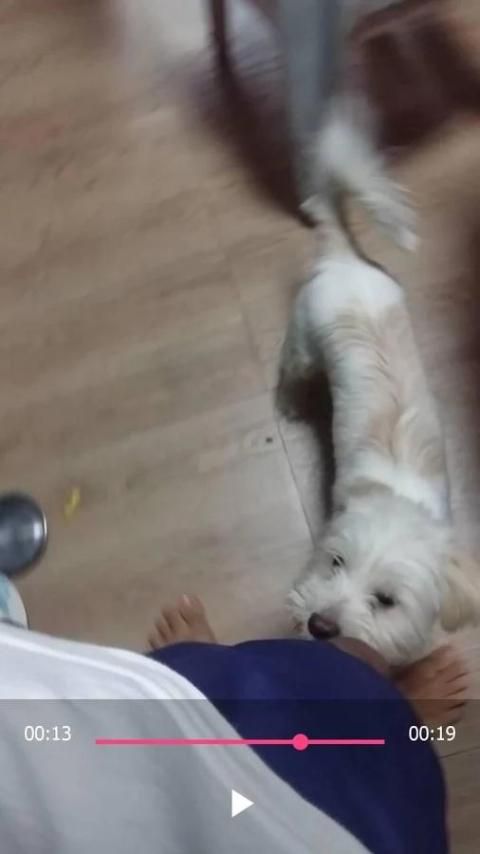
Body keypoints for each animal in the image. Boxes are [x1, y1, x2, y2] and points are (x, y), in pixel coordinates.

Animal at [277, 100, 480, 665]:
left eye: (386, 600)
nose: (319, 624)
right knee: (292, 370)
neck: (396, 496)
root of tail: (345, 258)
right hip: (303, 345)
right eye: (335, 563)